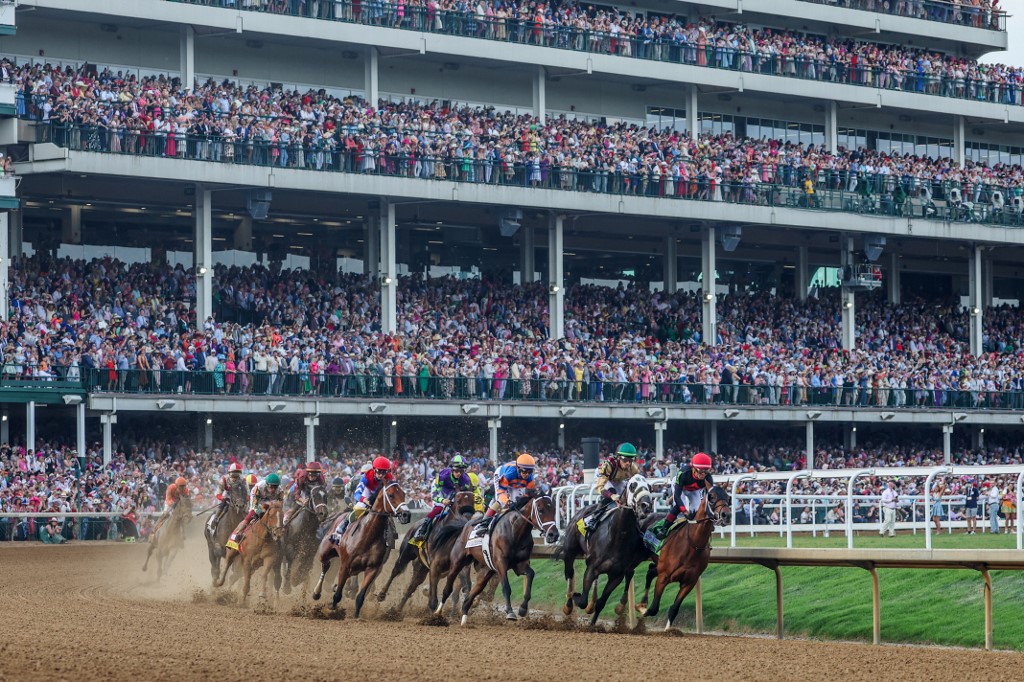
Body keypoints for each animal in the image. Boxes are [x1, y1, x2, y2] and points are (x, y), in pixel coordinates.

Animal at [309, 477, 409, 614]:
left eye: (404, 494)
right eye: (391, 494)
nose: (406, 514)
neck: (368, 536)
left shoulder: (373, 568)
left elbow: (361, 596)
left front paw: (356, 613)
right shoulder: (345, 565)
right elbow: (338, 594)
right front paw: (332, 605)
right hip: (324, 551)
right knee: (325, 565)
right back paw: (316, 592)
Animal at [434, 491, 557, 622]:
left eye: (554, 510)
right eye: (541, 510)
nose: (553, 534)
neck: (515, 530)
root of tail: (465, 525)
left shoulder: (520, 564)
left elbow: (530, 575)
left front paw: (523, 609)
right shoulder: (501, 563)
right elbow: (506, 587)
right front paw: (510, 612)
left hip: (486, 570)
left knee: (470, 597)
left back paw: (464, 620)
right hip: (458, 562)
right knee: (448, 588)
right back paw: (437, 612)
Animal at [557, 473, 651, 622]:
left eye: (649, 487)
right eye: (632, 486)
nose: (646, 506)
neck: (617, 537)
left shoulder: (616, 575)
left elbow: (601, 603)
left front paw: (593, 622)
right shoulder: (591, 568)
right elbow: (582, 600)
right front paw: (577, 597)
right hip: (570, 551)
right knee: (569, 573)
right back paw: (568, 605)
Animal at [638, 485, 729, 630]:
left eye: (728, 497)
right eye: (711, 497)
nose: (727, 515)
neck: (692, 544)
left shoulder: (689, 582)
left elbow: (674, 609)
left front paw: (668, 630)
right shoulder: (664, 577)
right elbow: (654, 608)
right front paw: (642, 610)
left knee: (650, 571)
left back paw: (643, 601)